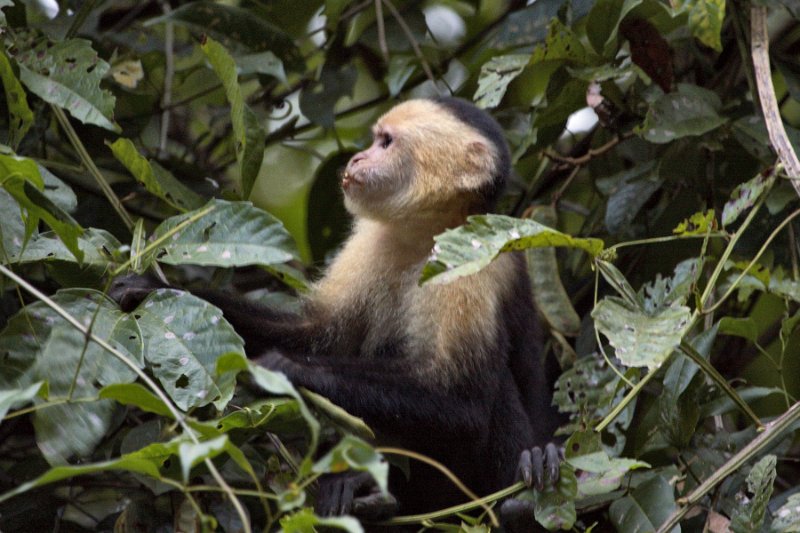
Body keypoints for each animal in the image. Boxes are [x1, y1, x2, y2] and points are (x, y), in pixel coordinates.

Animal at [111, 97, 564, 524]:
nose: (357, 158)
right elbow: (317, 332)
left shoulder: (470, 262)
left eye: (386, 143)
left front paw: (286, 369)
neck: (425, 236)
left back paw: (515, 500)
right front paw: (153, 288)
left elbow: (464, 404)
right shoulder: (372, 241)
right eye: (375, 139)